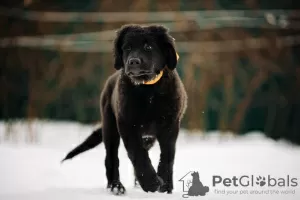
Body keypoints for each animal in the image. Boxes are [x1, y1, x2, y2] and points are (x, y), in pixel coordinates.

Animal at [61, 24, 188, 195]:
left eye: (148, 47)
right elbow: (138, 155)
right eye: (127, 48)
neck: (148, 90)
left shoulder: (170, 124)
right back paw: (116, 186)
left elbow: (167, 156)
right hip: (110, 127)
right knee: (111, 159)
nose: (133, 62)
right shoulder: (127, 124)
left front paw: (165, 186)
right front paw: (151, 183)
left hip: (147, 137)